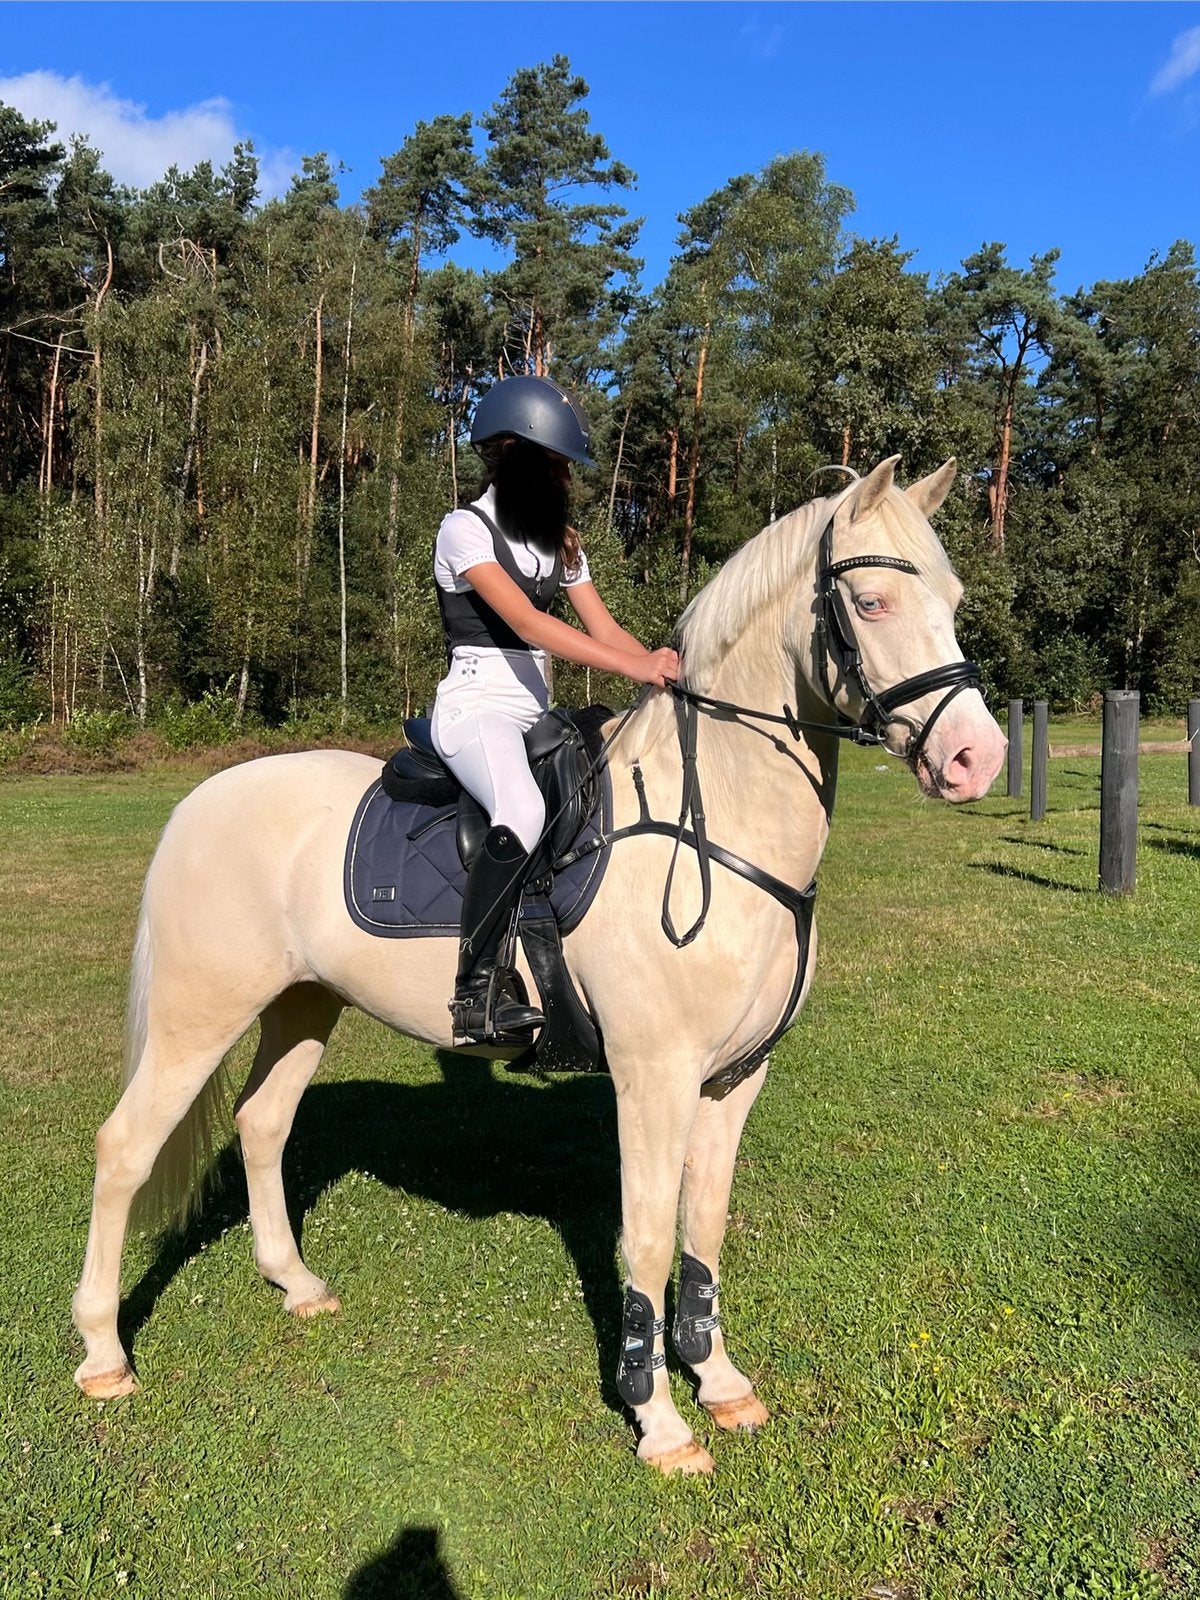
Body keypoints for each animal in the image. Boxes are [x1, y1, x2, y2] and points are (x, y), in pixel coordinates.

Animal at [71, 455, 1007, 1475]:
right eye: (871, 602)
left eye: (955, 600)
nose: (978, 758)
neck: (716, 825)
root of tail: (201, 799)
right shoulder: (653, 1077)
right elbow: (647, 1238)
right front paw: (659, 1421)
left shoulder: (734, 1078)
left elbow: (704, 1228)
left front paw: (720, 1384)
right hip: (199, 1014)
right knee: (124, 1149)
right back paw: (103, 1355)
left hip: (303, 1003)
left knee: (263, 1122)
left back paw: (297, 1284)